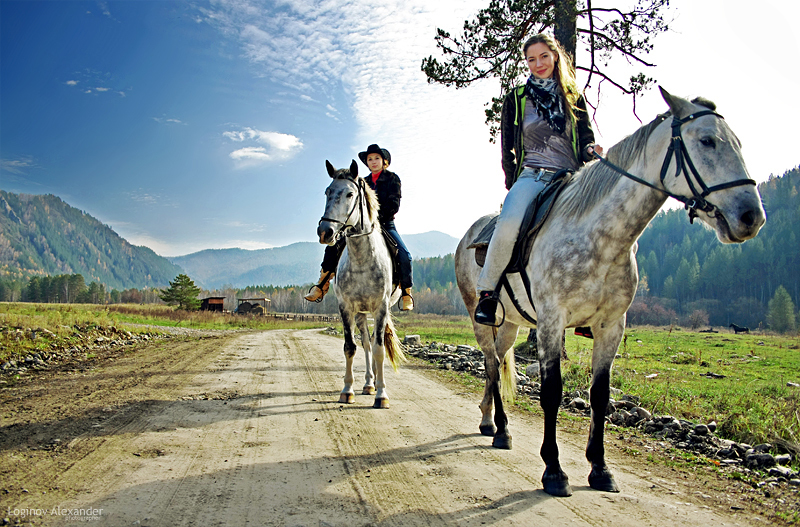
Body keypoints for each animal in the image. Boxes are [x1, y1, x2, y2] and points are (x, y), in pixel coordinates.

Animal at [318, 160, 406, 408]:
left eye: (350, 194)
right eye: (327, 192)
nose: (325, 232)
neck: (362, 260)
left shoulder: (381, 308)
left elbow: (379, 349)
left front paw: (382, 395)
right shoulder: (346, 308)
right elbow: (351, 347)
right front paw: (347, 390)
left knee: (375, 343)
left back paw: (375, 383)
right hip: (360, 313)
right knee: (366, 343)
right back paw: (368, 382)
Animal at [454, 88, 764, 498]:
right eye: (707, 141)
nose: (751, 216)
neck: (599, 237)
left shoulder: (611, 326)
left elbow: (600, 395)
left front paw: (599, 468)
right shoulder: (551, 321)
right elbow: (551, 390)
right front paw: (554, 470)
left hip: (511, 324)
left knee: (498, 363)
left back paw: (493, 423)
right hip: (482, 319)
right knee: (490, 363)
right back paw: (499, 428)